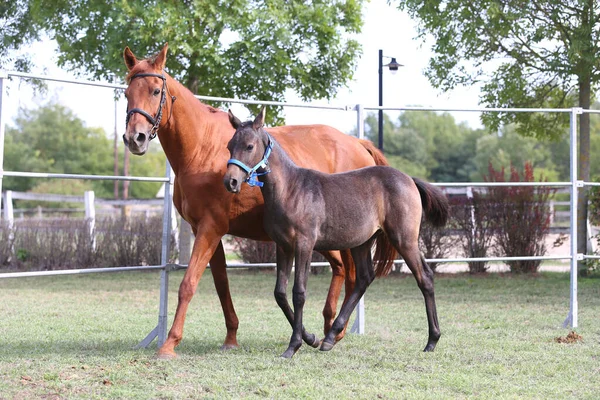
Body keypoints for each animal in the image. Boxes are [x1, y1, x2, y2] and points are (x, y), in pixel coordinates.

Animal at [124, 42, 392, 358]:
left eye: (156, 90)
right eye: (127, 93)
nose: (135, 138)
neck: (202, 148)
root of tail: (359, 145)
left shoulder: (210, 228)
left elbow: (188, 283)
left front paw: (169, 343)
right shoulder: (208, 230)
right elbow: (221, 284)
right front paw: (231, 337)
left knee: (351, 274)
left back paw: (333, 332)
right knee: (341, 270)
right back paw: (325, 330)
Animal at [224, 108, 446, 358]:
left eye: (249, 146)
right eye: (229, 145)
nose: (230, 181)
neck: (290, 189)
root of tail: (409, 179)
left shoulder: (304, 245)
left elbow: (299, 292)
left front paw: (293, 345)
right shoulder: (283, 246)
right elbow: (280, 293)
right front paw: (310, 338)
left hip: (404, 239)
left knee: (424, 277)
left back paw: (432, 340)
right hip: (361, 242)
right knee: (364, 278)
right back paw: (329, 338)